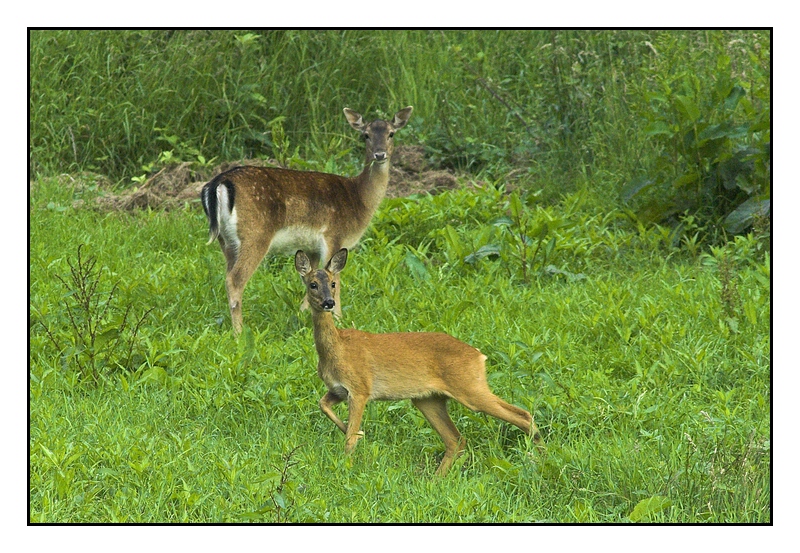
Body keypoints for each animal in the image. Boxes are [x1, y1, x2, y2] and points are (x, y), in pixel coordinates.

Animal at [202, 106, 412, 334]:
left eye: (391, 133)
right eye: (365, 135)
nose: (380, 154)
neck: (359, 199)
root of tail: (219, 182)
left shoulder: (311, 247)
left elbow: (310, 276)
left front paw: (303, 315)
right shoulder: (333, 235)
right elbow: (336, 278)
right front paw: (340, 319)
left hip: (226, 241)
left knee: (227, 274)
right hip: (255, 235)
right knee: (235, 279)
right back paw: (239, 332)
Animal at [296, 248, 548, 476]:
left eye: (333, 283)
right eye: (313, 284)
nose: (329, 302)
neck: (337, 350)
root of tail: (478, 355)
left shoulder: (360, 388)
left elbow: (349, 438)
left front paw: (347, 464)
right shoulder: (337, 390)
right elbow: (323, 405)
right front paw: (350, 430)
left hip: (470, 388)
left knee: (522, 415)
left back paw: (539, 459)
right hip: (429, 400)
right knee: (456, 439)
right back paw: (436, 480)